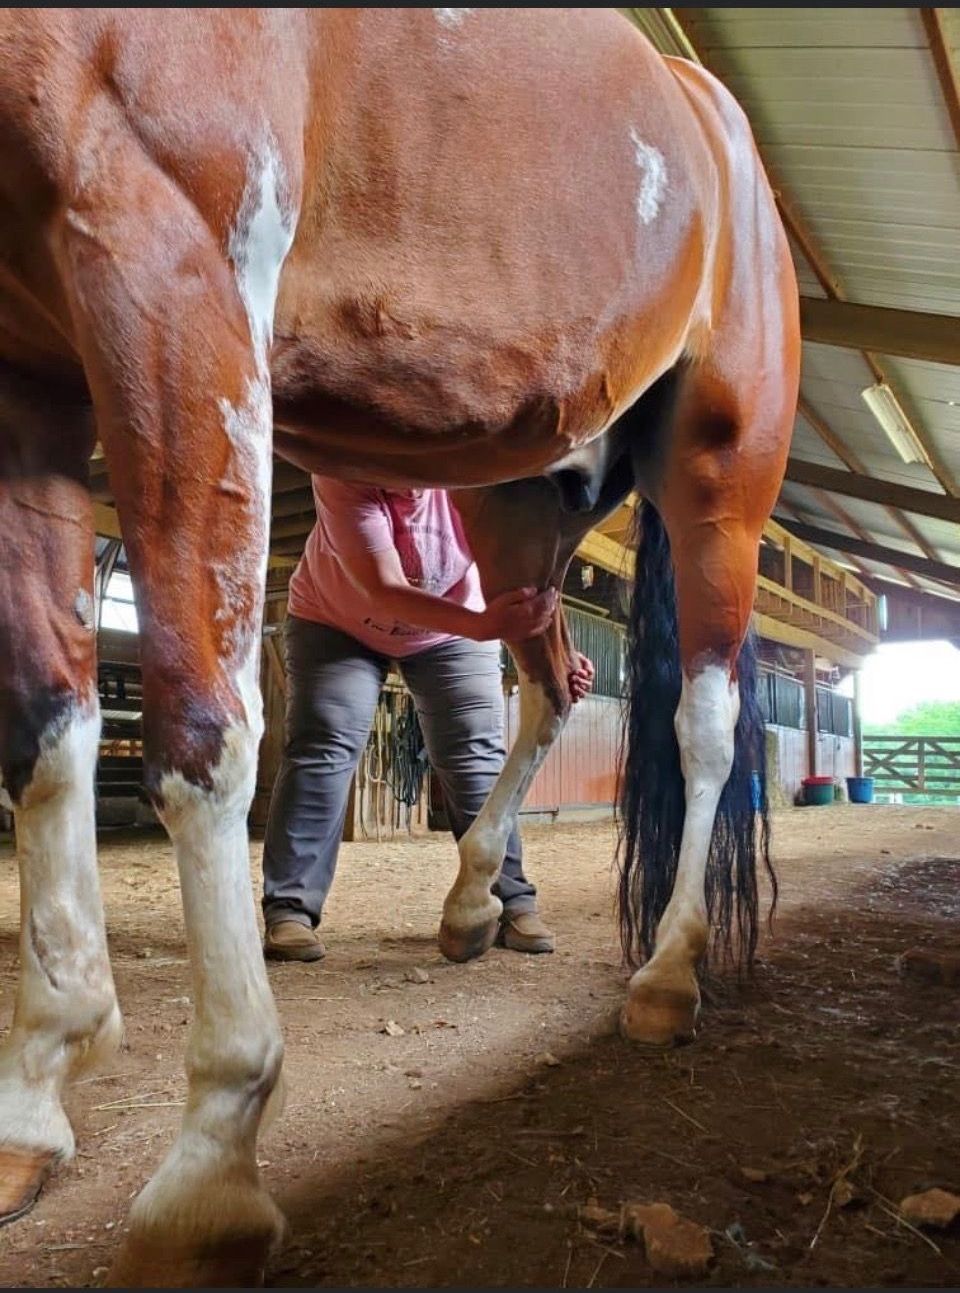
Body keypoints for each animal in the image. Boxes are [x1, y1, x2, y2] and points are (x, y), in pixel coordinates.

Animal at [0, 8, 799, 1285]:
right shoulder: (25, 370)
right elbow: (44, 732)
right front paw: (33, 1105)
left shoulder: (168, 272)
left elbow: (203, 738)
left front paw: (210, 1171)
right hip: (523, 506)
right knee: (551, 688)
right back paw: (474, 902)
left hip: (719, 477)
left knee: (706, 728)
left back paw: (668, 978)